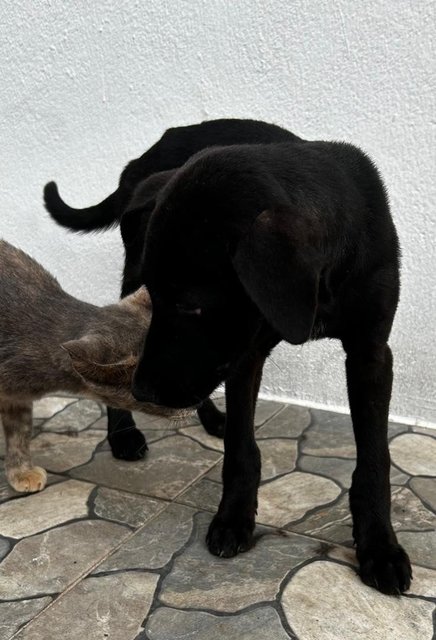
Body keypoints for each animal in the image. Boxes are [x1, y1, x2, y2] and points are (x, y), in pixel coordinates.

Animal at [132, 141, 412, 596]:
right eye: (156, 295)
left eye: (191, 304)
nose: (141, 391)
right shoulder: (247, 354)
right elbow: (240, 448)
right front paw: (233, 517)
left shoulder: (370, 353)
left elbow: (375, 460)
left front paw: (379, 547)